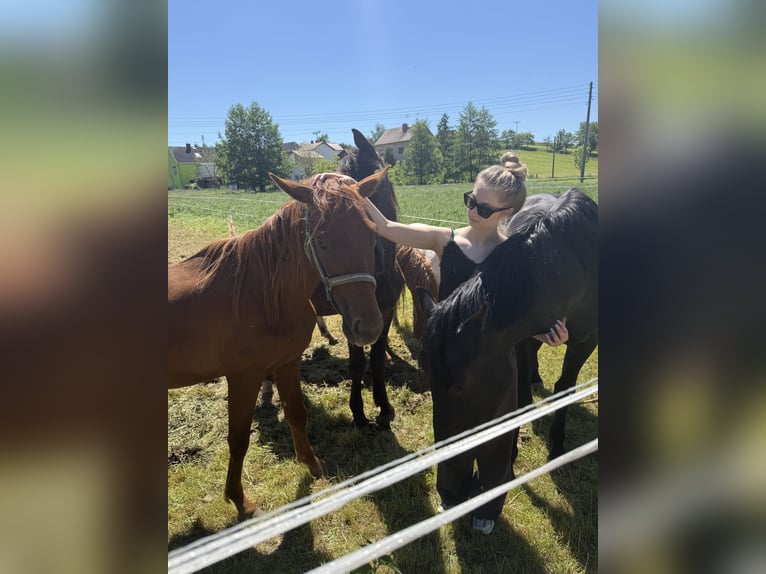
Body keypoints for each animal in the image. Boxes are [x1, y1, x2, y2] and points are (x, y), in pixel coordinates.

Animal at [168, 169, 389, 519]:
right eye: (322, 241)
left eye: (371, 236)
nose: (368, 329)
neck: (259, 295)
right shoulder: (243, 377)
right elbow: (239, 438)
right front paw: (239, 500)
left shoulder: (287, 363)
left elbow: (297, 414)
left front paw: (312, 465)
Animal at [416, 188, 597, 531]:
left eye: (458, 387)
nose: (449, 491)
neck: (567, 264)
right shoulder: (523, 337)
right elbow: (520, 403)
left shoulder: (585, 340)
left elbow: (565, 388)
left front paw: (556, 447)